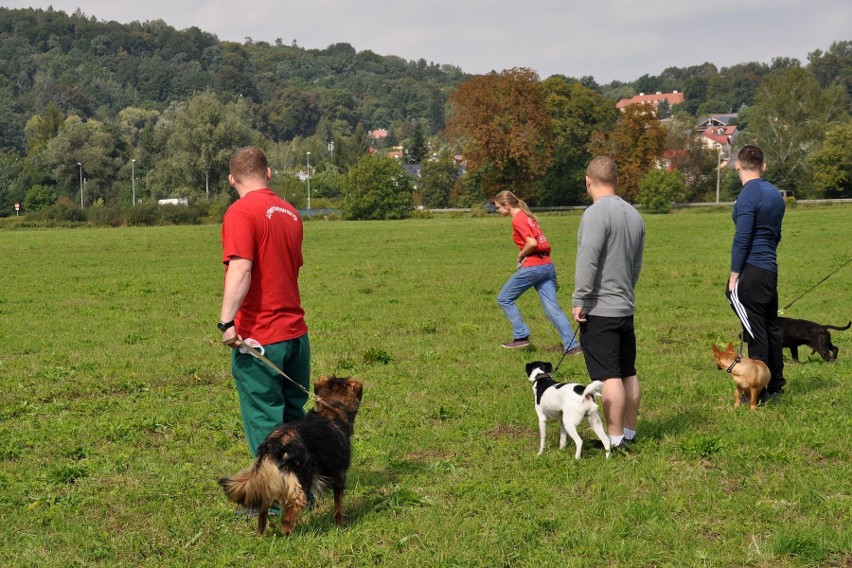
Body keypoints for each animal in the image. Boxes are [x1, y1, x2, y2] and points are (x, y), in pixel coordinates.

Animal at [218, 374, 362, 536]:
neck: (331, 408)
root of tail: (273, 445)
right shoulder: (339, 474)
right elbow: (338, 504)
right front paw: (339, 524)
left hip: (271, 480)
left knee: (263, 509)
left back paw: (261, 534)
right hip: (299, 484)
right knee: (287, 518)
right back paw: (290, 537)